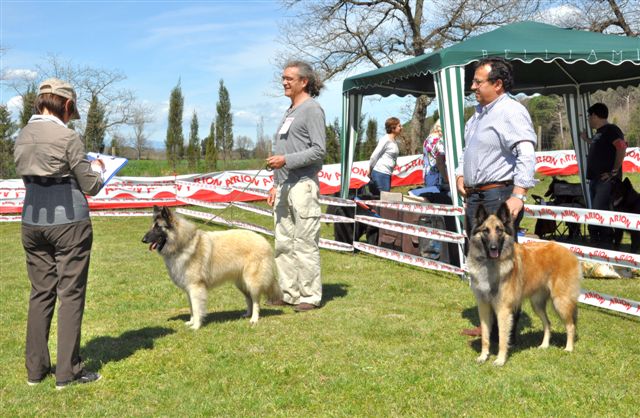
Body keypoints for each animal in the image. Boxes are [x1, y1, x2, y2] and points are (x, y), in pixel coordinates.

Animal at [142, 206, 282, 329]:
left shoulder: (196, 287)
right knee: (249, 299)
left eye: (158, 228)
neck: (183, 243)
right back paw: (247, 314)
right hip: (241, 283)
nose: (143, 240)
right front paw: (191, 322)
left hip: (252, 281)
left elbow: (196, 308)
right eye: (152, 227)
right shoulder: (189, 289)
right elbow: (191, 307)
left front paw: (196, 326)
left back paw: (254, 319)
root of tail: (264, 240)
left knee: (256, 300)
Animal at [466, 202, 582, 366]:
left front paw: (500, 360)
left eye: (499, 230)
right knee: (548, 323)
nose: (493, 248)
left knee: (571, 325)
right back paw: (544, 345)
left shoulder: (503, 310)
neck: (489, 264)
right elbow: (485, 336)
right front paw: (483, 356)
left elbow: (503, 338)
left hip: (561, 301)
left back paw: (568, 348)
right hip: (537, 304)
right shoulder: (483, 306)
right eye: (485, 231)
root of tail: (569, 252)